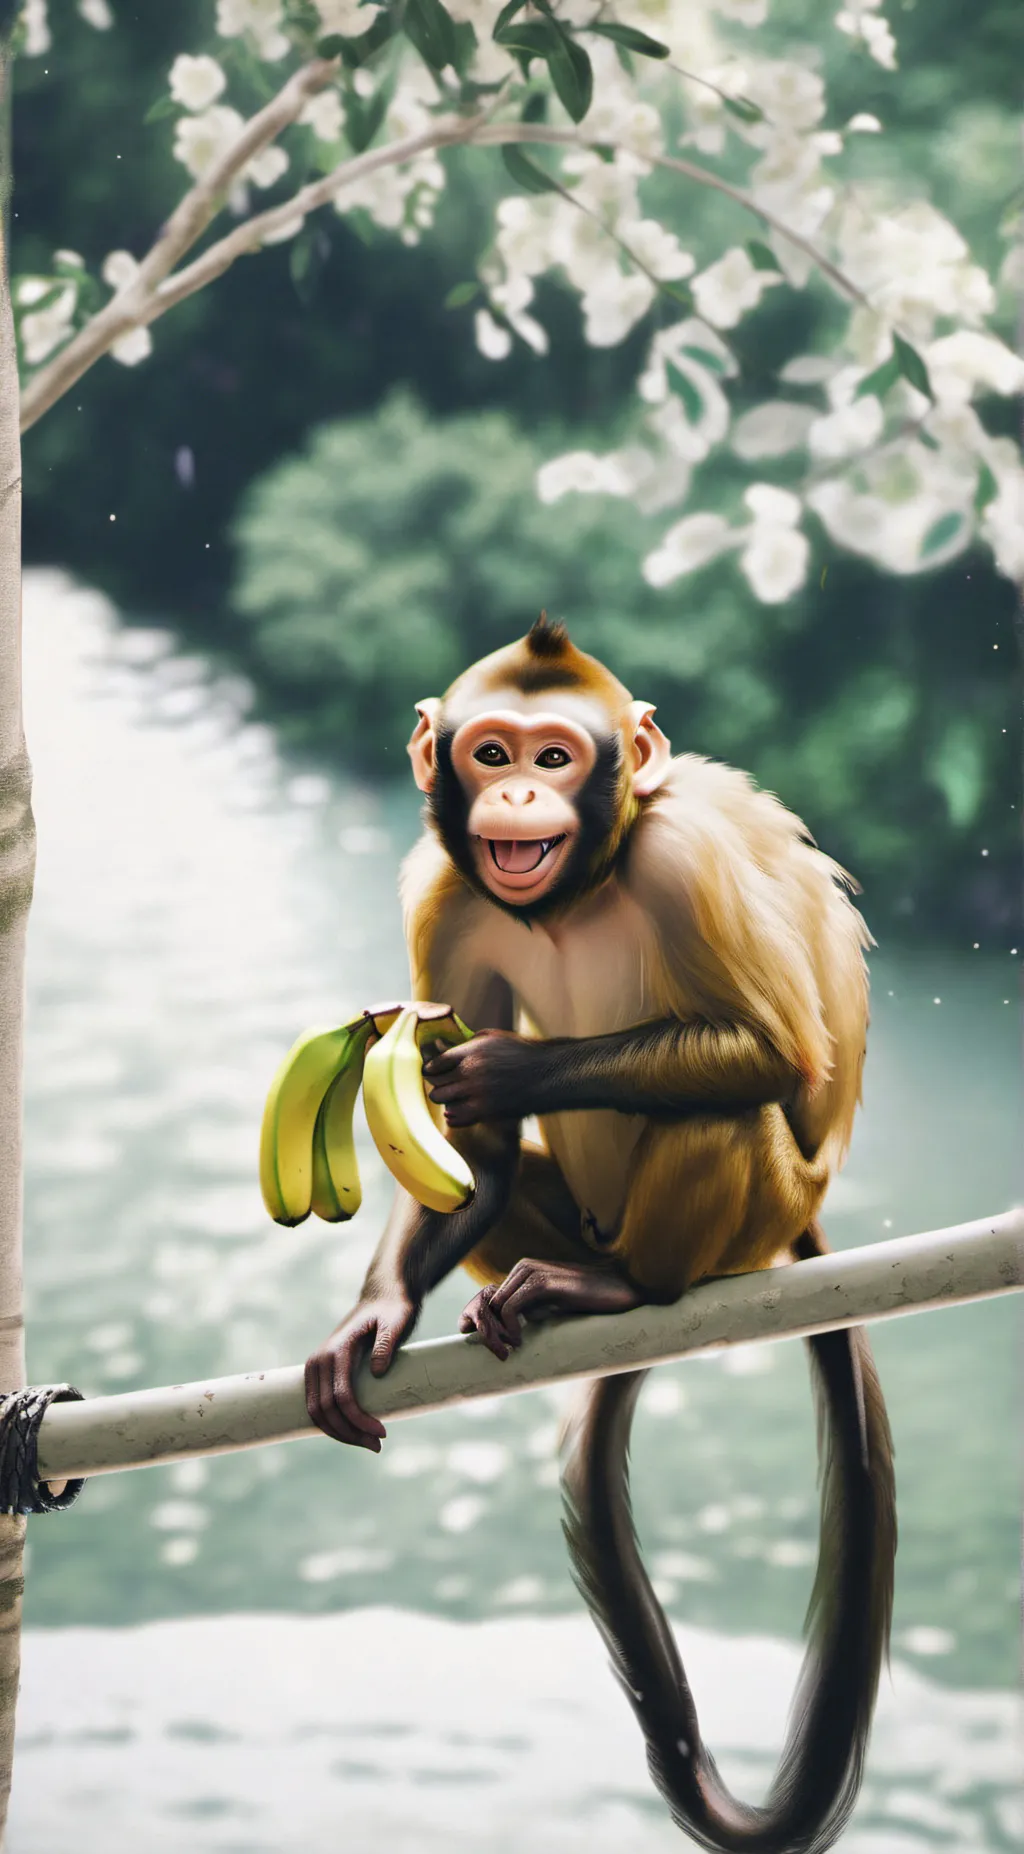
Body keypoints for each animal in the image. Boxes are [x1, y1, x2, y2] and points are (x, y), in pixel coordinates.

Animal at [305, 615, 896, 1854]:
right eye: (489, 753)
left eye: (554, 754)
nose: (520, 790)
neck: (574, 891)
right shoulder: (447, 891)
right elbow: (469, 1156)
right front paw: (376, 1312)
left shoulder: (683, 861)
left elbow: (774, 1051)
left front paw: (503, 1068)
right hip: (575, 1217)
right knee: (512, 1197)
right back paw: (565, 1279)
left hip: (758, 1211)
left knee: (722, 1109)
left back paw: (628, 1290)